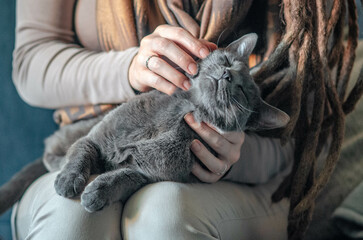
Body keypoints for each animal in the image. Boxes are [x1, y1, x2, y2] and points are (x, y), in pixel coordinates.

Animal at [53, 33, 290, 212]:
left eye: (241, 91)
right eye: (227, 62)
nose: (226, 74)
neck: (179, 112)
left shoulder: (150, 174)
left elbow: (125, 176)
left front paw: (97, 193)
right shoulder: (94, 139)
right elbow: (80, 152)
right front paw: (67, 180)